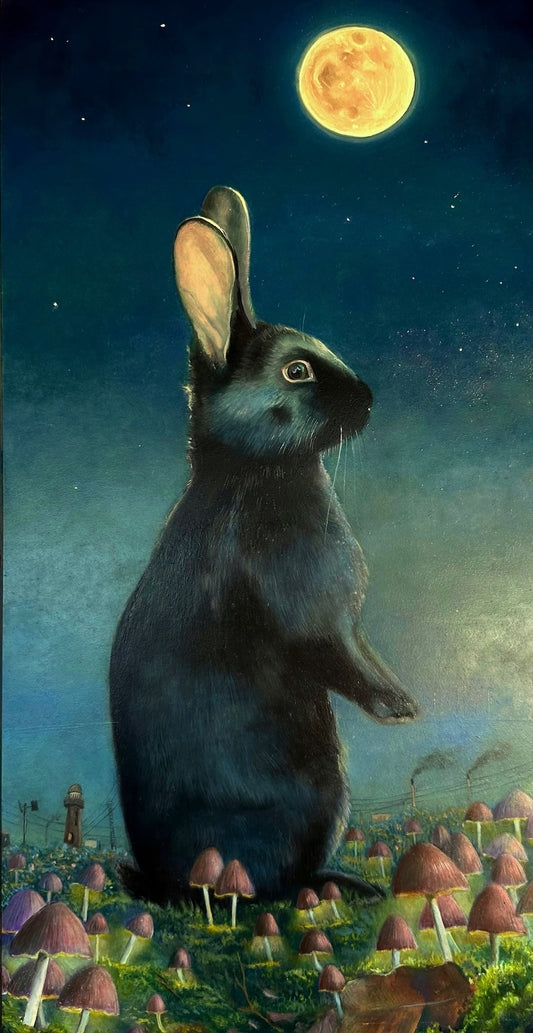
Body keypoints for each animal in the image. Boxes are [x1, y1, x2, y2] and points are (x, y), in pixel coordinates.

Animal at [109, 185, 418, 904]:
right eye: (297, 371)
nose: (368, 399)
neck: (257, 470)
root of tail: (164, 882)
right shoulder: (314, 608)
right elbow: (339, 656)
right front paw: (400, 710)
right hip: (317, 797)